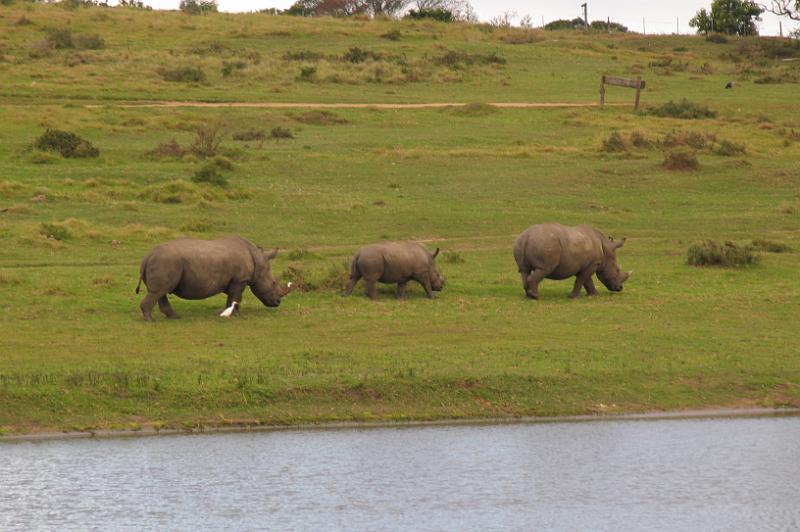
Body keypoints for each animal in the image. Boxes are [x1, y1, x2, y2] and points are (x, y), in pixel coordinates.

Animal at [136, 237, 292, 320]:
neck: (258, 260)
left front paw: (233, 312)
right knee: (158, 291)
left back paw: (174, 317)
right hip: (165, 262)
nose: (278, 302)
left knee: (160, 291)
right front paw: (233, 314)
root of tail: (147, 256)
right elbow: (235, 296)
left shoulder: (237, 280)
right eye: (273, 283)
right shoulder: (239, 280)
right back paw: (150, 320)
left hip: (163, 262)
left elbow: (235, 297)